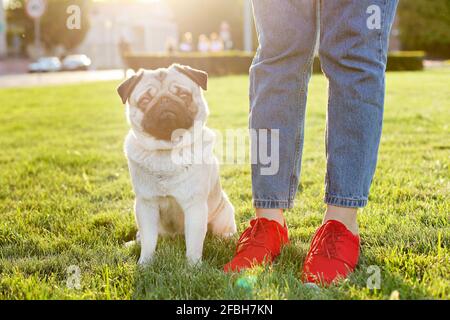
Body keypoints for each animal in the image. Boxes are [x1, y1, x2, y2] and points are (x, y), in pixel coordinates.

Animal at [117, 63, 236, 264]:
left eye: (183, 95)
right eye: (145, 100)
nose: (165, 101)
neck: (167, 151)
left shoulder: (194, 206)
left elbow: (194, 244)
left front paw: (193, 267)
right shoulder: (146, 206)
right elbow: (149, 241)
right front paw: (145, 264)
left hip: (223, 213)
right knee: (144, 236)